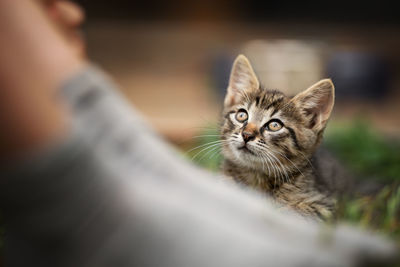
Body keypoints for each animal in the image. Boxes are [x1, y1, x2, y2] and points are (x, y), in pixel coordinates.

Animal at [222, 54, 338, 220]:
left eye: (274, 125)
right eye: (242, 115)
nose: (246, 135)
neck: (256, 176)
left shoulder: (325, 206)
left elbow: (292, 212)